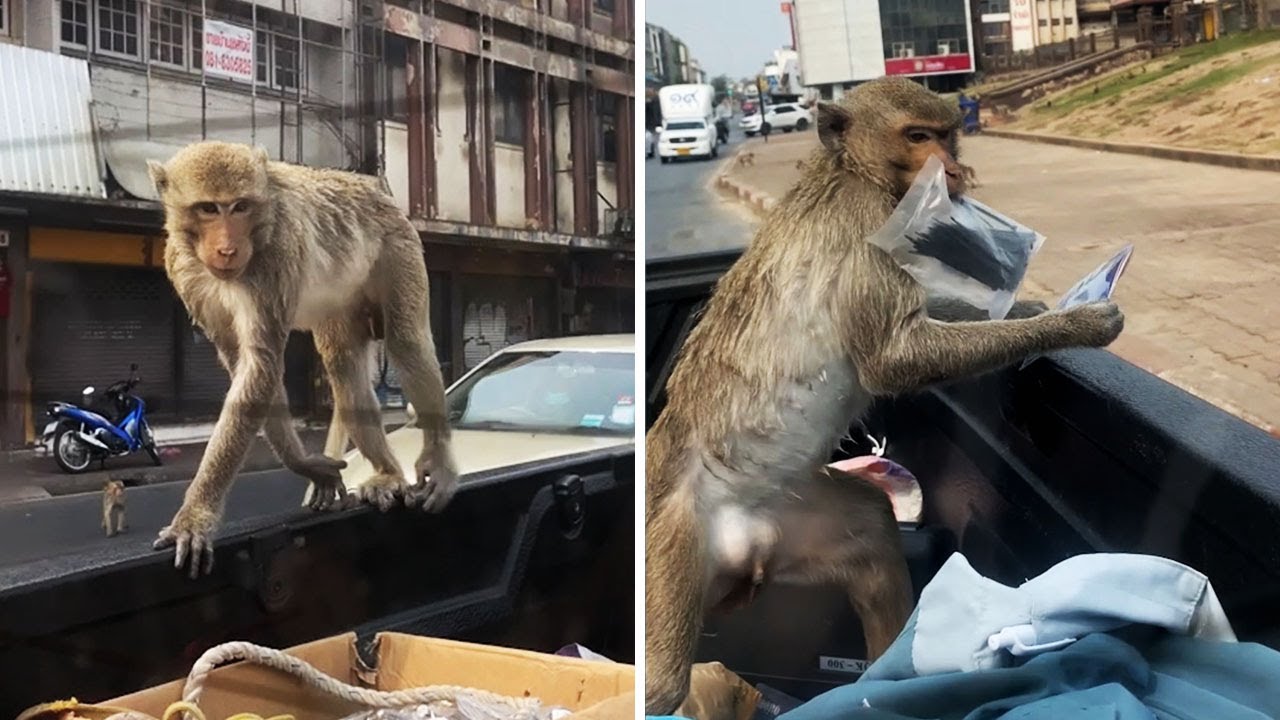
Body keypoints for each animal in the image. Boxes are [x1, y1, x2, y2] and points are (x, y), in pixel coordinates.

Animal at [146, 141, 459, 577]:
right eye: (208, 208)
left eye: (240, 206)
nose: (227, 247)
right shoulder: (184, 270)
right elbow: (245, 364)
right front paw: (306, 464)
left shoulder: (275, 257)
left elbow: (260, 364)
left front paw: (196, 514)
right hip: (345, 300)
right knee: (343, 365)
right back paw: (387, 472)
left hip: (398, 247)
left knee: (406, 341)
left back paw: (438, 459)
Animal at [644, 76, 1124, 715]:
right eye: (917, 137)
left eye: (946, 133)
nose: (953, 168)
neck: (851, 170)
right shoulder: (870, 223)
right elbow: (895, 358)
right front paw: (1077, 325)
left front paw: (1028, 308)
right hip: (672, 546)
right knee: (657, 683)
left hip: (782, 522)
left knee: (873, 525)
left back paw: (885, 682)